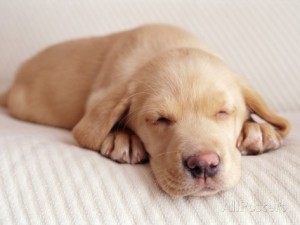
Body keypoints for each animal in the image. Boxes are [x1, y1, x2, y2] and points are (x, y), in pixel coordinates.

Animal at [0, 24, 290, 197]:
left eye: (223, 112)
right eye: (160, 120)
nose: (204, 165)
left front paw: (259, 129)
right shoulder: (101, 96)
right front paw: (123, 138)